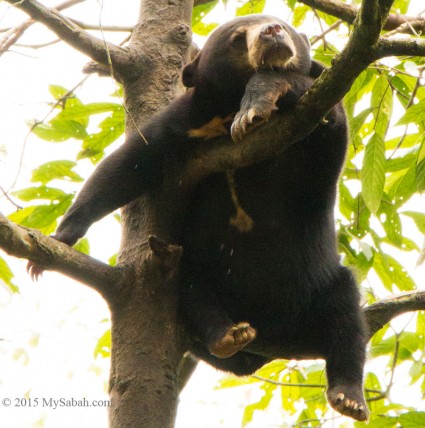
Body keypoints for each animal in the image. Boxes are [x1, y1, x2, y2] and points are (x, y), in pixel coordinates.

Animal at [29, 15, 368, 422]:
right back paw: (227, 335)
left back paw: (349, 396)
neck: (225, 108)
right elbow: (124, 169)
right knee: (195, 290)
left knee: (347, 315)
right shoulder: (180, 125)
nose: (271, 31)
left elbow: (328, 122)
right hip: (201, 271)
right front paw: (56, 242)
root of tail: (270, 339)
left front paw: (256, 106)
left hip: (315, 287)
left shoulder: (309, 131)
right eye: (238, 37)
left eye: (282, 23)